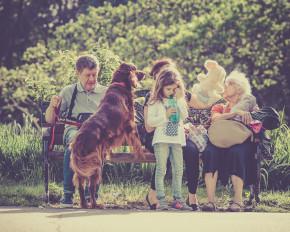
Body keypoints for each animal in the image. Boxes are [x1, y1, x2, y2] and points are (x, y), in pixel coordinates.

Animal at [70, 62, 146, 208]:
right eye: (135, 68)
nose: (145, 73)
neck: (119, 84)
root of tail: (79, 141)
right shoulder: (130, 123)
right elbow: (137, 141)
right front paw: (141, 154)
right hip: (95, 164)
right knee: (92, 186)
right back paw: (95, 204)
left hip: (84, 166)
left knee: (81, 185)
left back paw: (84, 204)